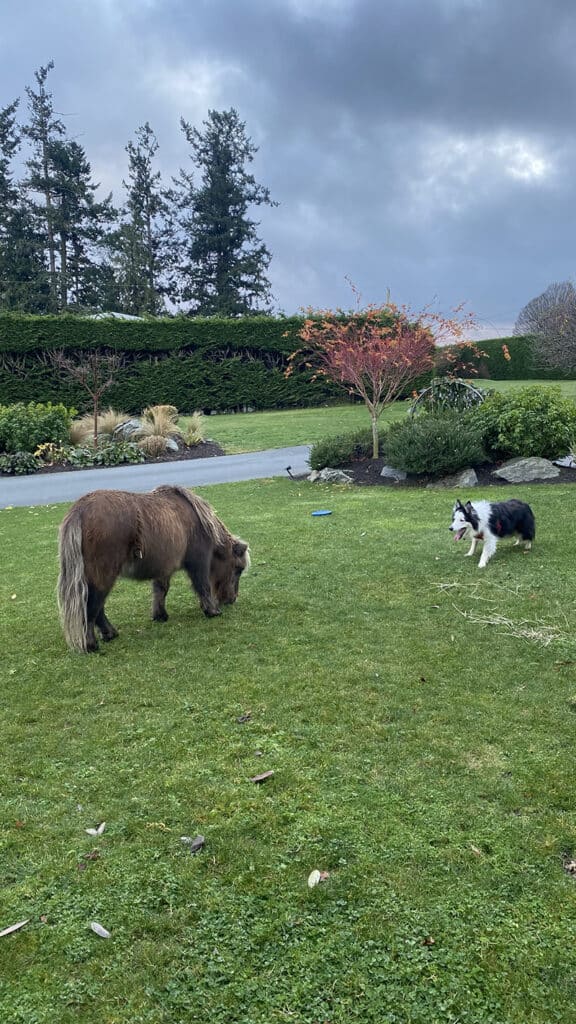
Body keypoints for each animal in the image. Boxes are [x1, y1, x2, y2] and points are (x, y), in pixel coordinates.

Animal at [56, 483, 249, 651]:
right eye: (238, 569)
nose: (231, 599)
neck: (199, 522)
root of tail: (79, 510)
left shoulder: (163, 567)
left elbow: (160, 590)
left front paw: (160, 615)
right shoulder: (198, 562)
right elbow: (202, 585)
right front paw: (212, 611)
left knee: (97, 606)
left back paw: (109, 634)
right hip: (103, 575)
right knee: (92, 606)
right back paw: (92, 643)